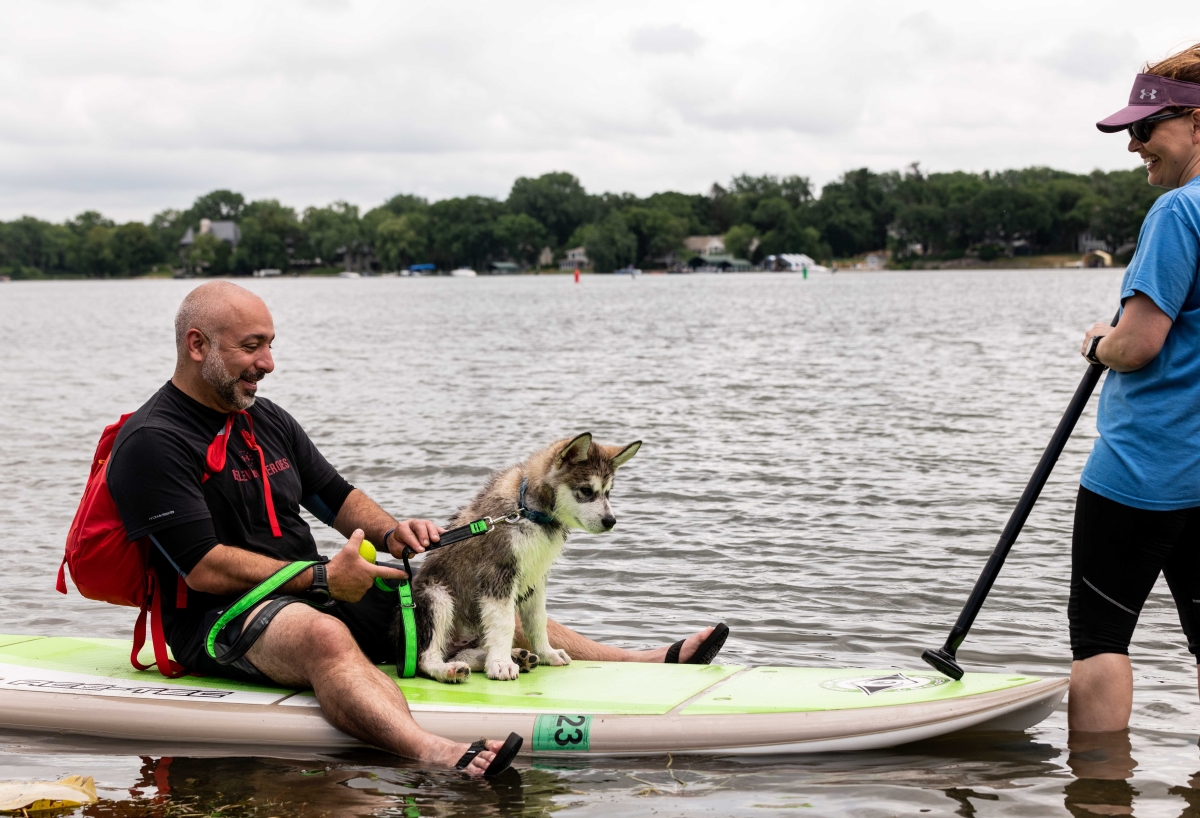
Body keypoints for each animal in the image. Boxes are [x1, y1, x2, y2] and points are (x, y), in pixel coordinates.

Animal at [405, 434, 638, 681]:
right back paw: (449, 669)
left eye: (608, 492)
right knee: (425, 658)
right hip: (436, 596)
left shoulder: (536, 576)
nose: (611, 521)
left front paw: (546, 653)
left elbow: (537, 619)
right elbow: (504, 622)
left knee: (464, 653)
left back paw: (516, 657)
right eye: (586, 490)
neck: (527, 510)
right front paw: (501, 664)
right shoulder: (497, 574)